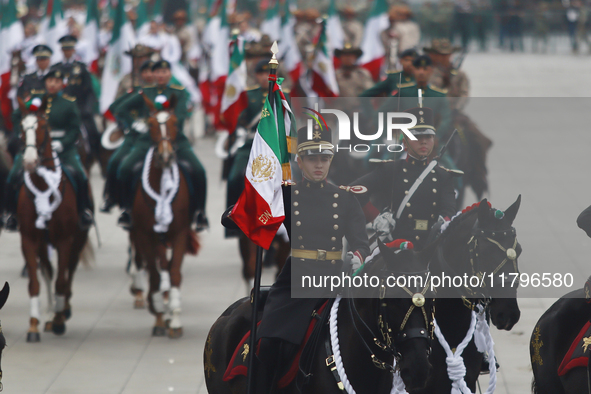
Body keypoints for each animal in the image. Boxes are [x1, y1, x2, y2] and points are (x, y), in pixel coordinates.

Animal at [16, 97, 90, 342]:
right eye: (22, 129)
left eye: (41, 127)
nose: (30, 162)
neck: (42, 185)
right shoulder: (29, 239)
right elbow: (35, 282)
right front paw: (33, 325)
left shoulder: (65, 240)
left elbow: (61, 281)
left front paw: (58, 321)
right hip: (43, 243)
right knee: (48, 270)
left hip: (78, 240)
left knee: (69, 274)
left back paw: (62, 311)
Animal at [130, 94, 199, 338]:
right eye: (151, 124)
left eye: (175, 123)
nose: (166, 156)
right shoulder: (146, 235)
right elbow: (155, 274)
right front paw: (159, 315)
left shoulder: (179, 233)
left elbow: (175, 272)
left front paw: (175, 320)